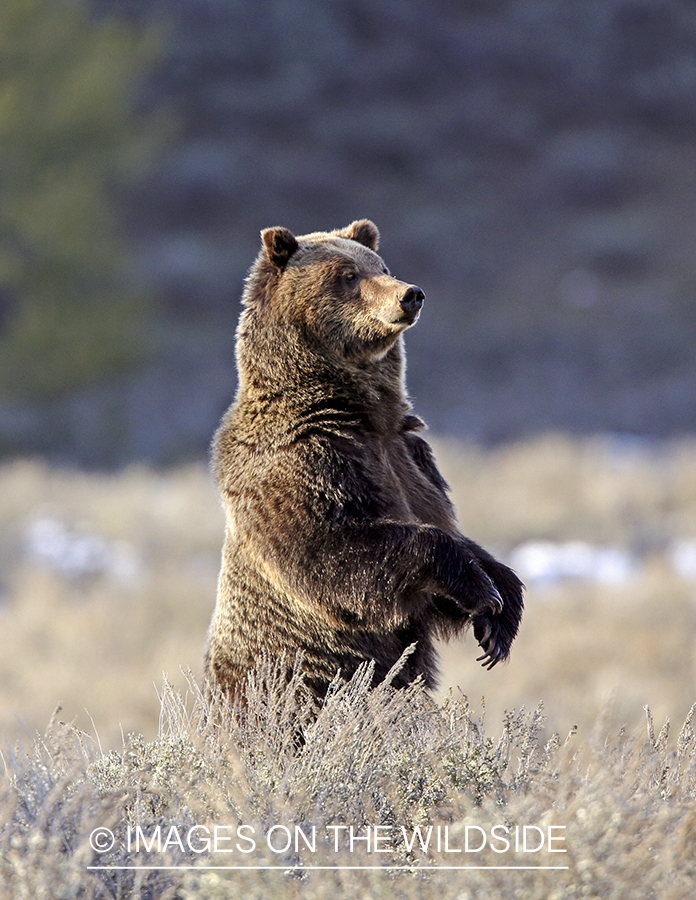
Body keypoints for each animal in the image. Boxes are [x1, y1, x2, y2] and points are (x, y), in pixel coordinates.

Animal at [201, 218, 520, 704]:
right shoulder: (307, 461)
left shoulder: (411, 459)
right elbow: (336, 553)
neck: (361, 411)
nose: (410, 294)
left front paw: (501, 611)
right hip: (293, 681)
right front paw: (482, 591)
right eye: (348, 275)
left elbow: (445, 529)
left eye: (382, 266)